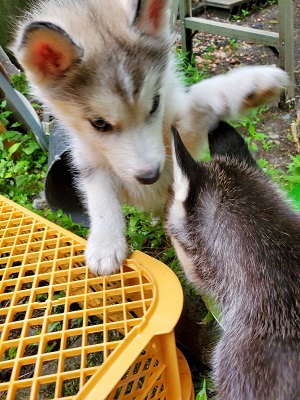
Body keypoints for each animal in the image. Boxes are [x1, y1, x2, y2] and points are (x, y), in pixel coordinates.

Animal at [11, 0, 288, 276]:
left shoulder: (180, 134)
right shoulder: (87, 156)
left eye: (155, 103)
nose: (150, 176)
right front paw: (105, 244)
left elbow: (199, 98)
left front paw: (249, 84)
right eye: (99, 124)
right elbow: (99, 193)